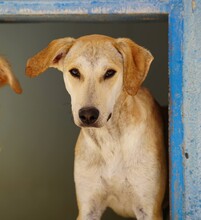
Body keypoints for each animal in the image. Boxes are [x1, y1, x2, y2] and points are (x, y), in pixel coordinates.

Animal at [25, 34, 167, 220]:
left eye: (109, 73)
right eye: (75, 72)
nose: (87, 115)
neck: (109, 139)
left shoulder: (149, 209)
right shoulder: (88, 207)